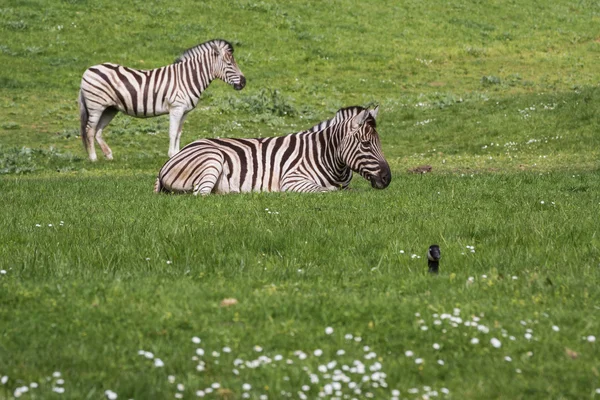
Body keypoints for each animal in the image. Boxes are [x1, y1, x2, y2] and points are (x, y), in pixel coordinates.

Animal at [78, 38, 246, 161]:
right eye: (229, 64)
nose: (244, 82)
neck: (187, 78)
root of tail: (88, 70)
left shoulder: (184, 111)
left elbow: (178, 133)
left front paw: (178, 154)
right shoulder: (176, 108)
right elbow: (172, 132)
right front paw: (172, 155)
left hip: (110, 108)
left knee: (98, 131)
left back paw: (108, 156)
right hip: (96, 105)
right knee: (90, 130)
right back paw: (93, 158)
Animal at [154, 105, 394, 195]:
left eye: (379, 144)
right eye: (366, 144)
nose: (387, 178)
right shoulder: (293, 179)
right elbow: (330, 191)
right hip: (212, 159)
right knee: (200, 195)